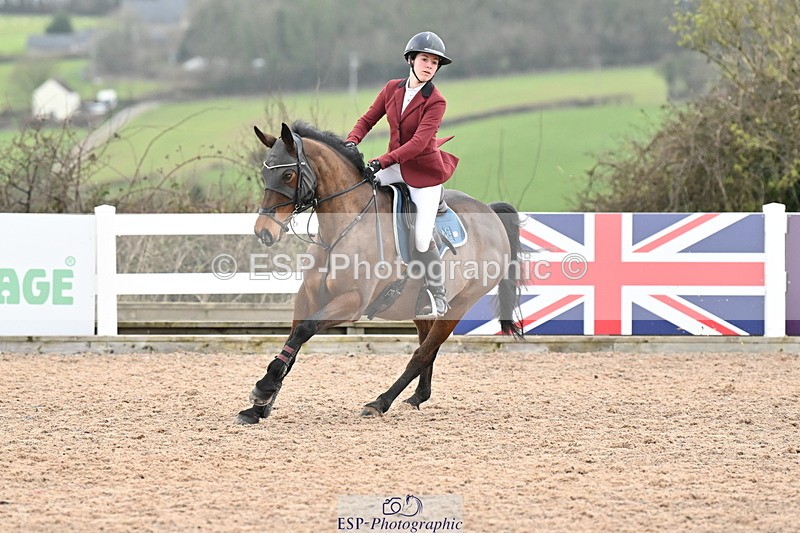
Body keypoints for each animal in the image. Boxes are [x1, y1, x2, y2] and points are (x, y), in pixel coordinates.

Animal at [236, 120, 524, 424]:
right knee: (427, 346)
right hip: (419, 308)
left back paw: (380, 402)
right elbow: (292, 341)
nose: (264, 232)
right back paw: (416, 397)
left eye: (288, 174)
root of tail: (490, 212)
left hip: (459, 304)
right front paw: (260, 405)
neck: (341, 228)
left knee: (422, 353)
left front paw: (263, 389)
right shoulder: (308, 297)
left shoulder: (351, 302)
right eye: (265, 174)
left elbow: (304, 330)